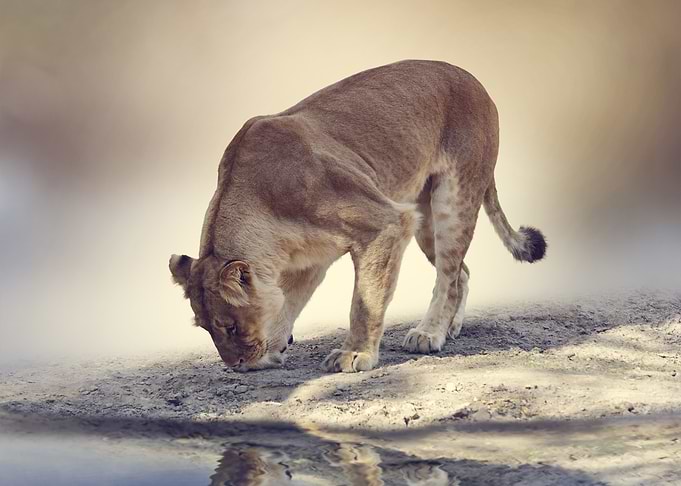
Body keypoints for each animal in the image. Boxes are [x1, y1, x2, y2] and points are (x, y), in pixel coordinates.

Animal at [170, 60, 546, 372]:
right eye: (206, 328)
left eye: (230, 326)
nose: (235, 365)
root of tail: (474, 78)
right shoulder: (308, 260)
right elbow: (288, 301)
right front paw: (274, 347)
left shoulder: (386, 223)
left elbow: (365, 300)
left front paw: (354, 354)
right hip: (425, 219)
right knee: (461, 273)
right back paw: (451, 326)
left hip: (453, 201)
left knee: (449, 277)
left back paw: (429, 333)